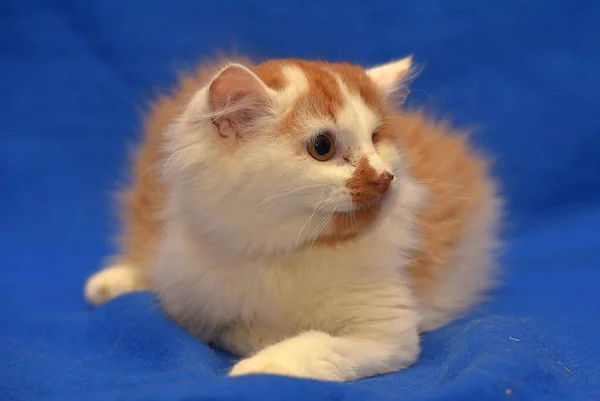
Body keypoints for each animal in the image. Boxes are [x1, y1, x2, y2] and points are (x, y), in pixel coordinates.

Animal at [84, 54, 502, 380]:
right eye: (322, 146)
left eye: (376, 139)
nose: (385, 177)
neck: (286, 250)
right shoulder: (190, 301)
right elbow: (221, 326)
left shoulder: (388, 332)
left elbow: (313, 346)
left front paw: (257, 366)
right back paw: (108, 284)